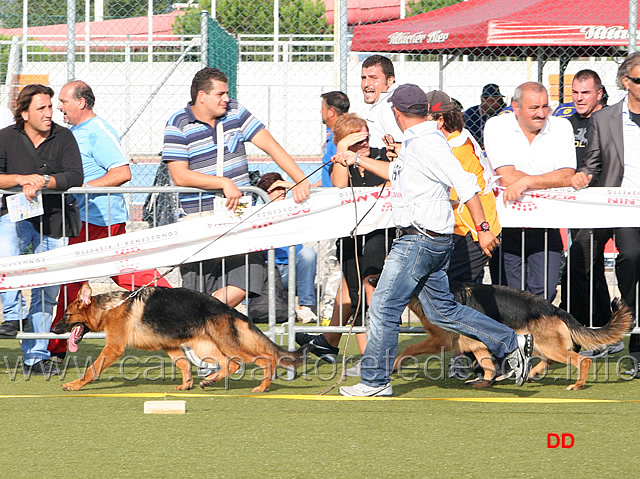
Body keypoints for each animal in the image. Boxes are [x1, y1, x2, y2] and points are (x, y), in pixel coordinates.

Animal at [52, 284, 302, 392]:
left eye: (67, 315)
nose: (54, 329)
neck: (110, 307)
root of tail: (229, 309)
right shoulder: (171, 346)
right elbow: (183, 365)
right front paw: (186, 384)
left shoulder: (113, 348)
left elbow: (92, 369)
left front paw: (75, 385)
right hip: (206, 348)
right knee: (231, 364)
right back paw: (209, 381)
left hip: (230, 345)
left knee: (263, 359)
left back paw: (263, 387)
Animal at [392, 284, 632, 392]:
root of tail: (555, 308)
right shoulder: (477, 345)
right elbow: (487, 364)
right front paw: (485, 381)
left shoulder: (439, 341)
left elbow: (408, 349)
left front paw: (395, 365)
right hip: (537, 345)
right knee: (548, 360)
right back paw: (529, 374)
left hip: (548, 346)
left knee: (582, 360)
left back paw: (578, 384)